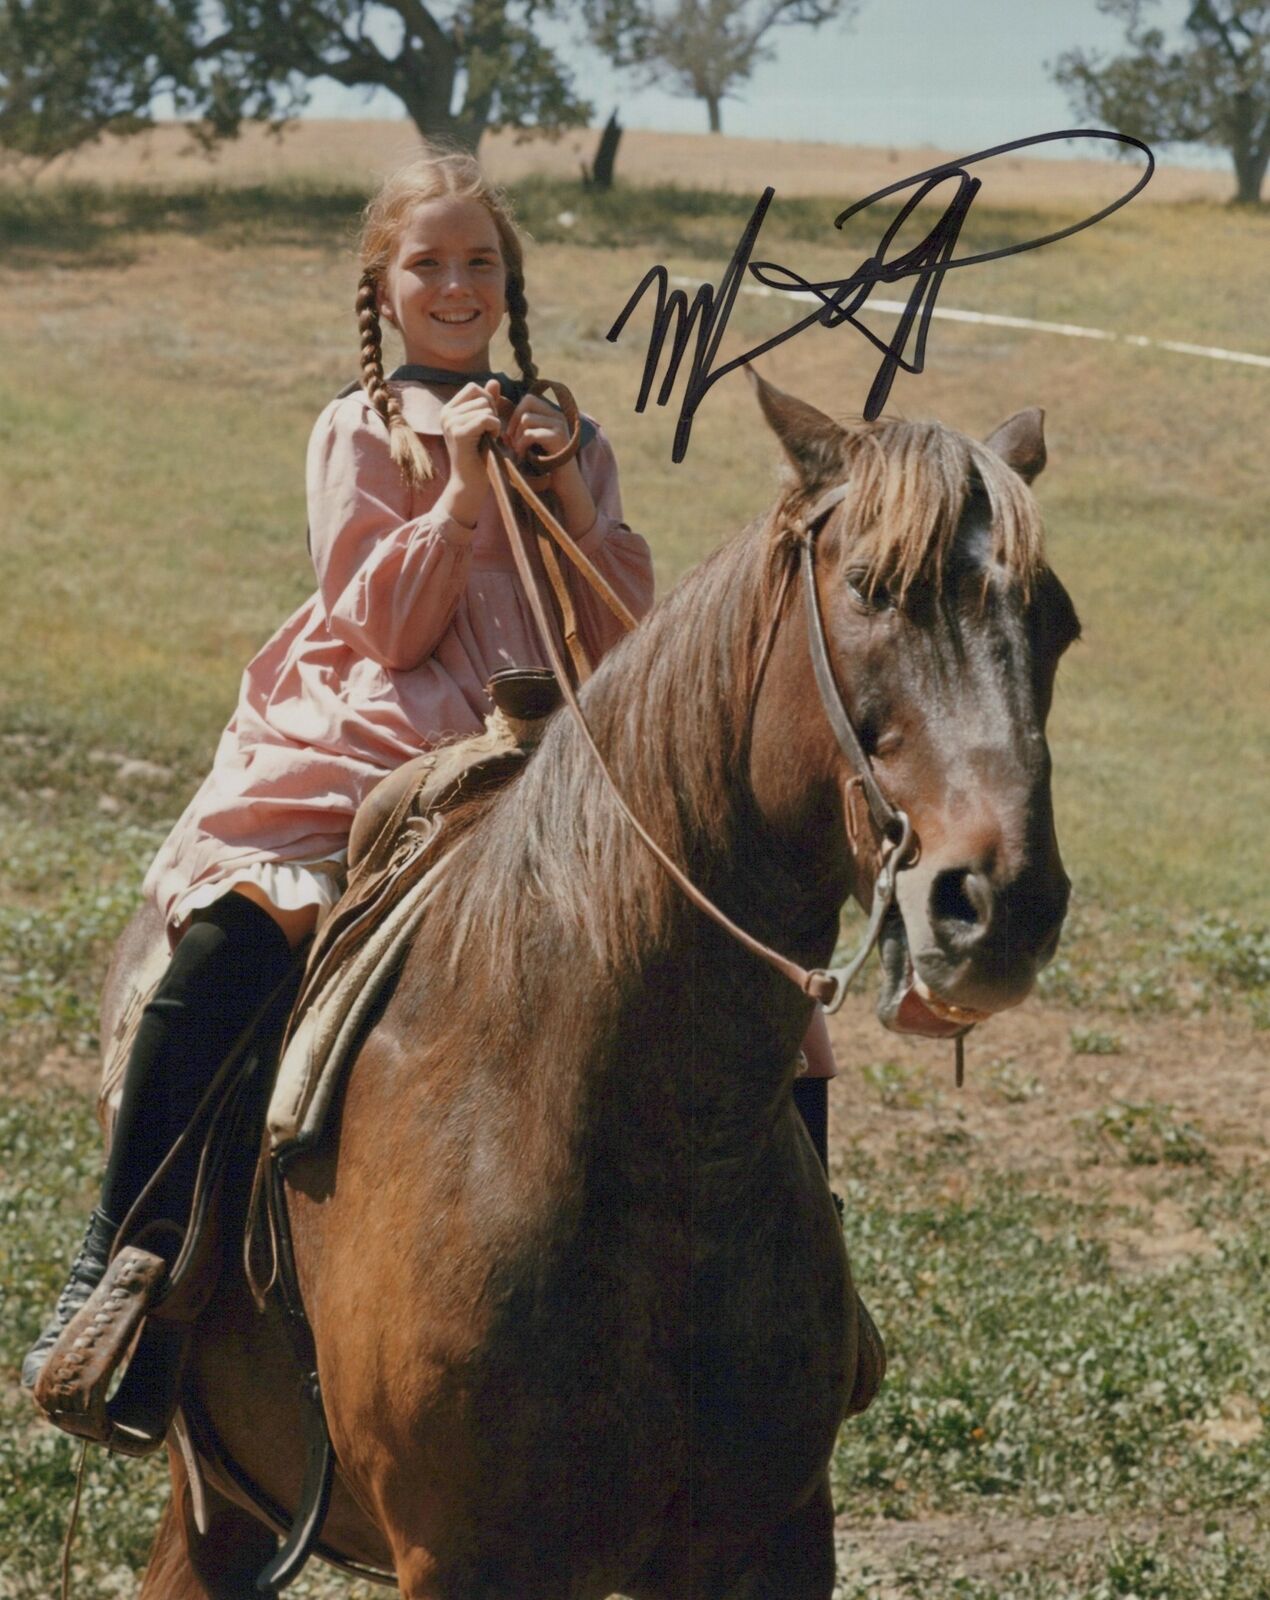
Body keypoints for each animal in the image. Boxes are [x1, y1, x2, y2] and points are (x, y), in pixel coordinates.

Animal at [111, 377, 1081, 1600]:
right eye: (868, 586)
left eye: (1056, 623)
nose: (998, 905)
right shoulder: (463, 1558)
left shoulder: (768, 1537)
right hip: (221, 1501)